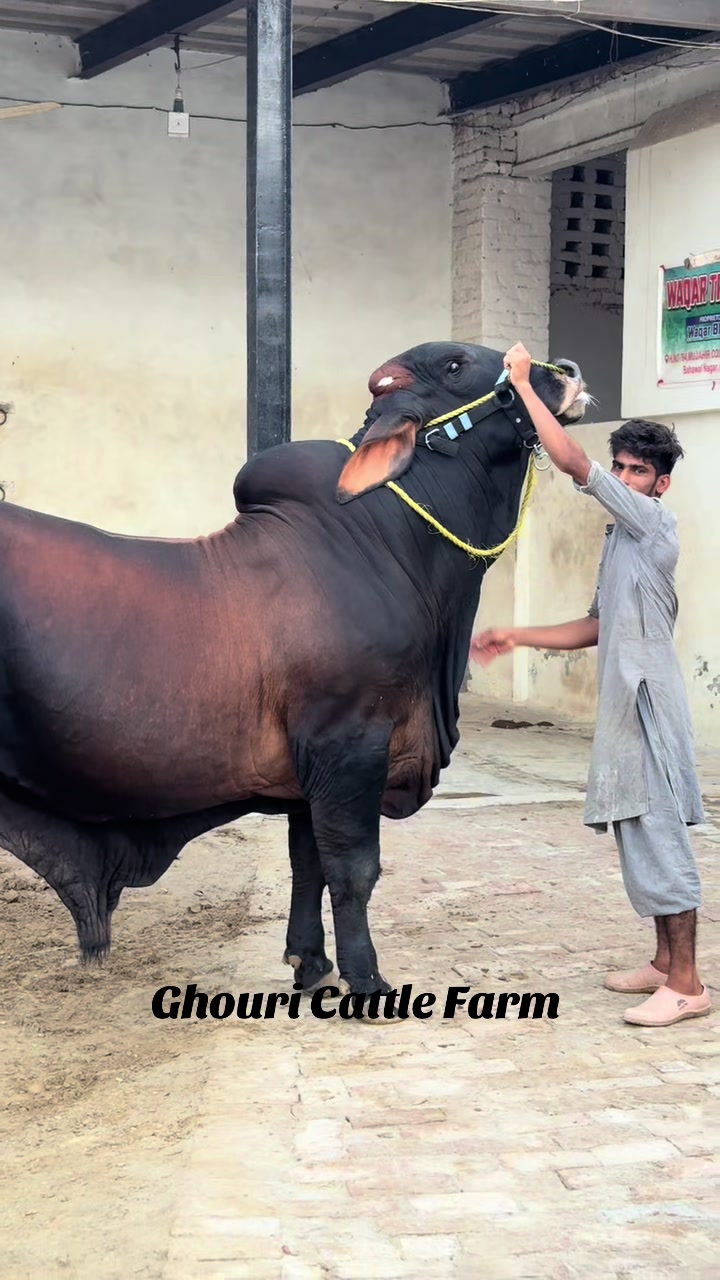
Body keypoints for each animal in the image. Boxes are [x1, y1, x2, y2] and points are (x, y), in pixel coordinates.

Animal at [0, 341, 586, 995]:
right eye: (456, 366)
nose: (567, 373)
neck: (390, 542)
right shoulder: (349, 742)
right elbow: (353, 868)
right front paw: (367, 981)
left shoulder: (311, 768)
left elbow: (308, 863)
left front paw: (309, 962)